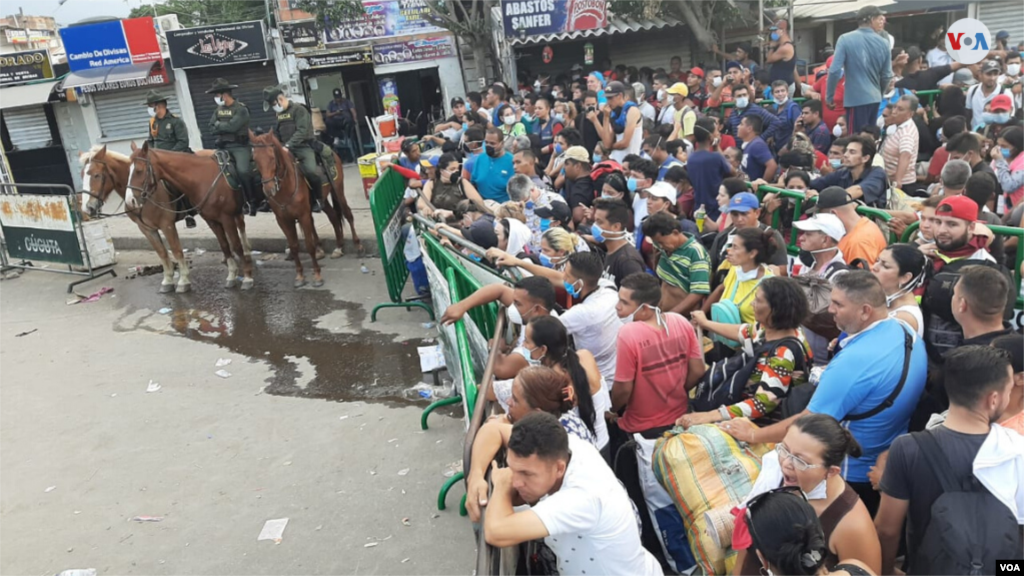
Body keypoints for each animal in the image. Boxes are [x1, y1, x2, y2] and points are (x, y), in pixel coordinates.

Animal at [80, 145, 196, 293]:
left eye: (97, 175)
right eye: (81, 175)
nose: (87, 208)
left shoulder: (167, 225)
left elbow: (176, 250)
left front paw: (183, 280)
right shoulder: (146, 229)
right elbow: (162, 253)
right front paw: (168, 280)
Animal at [128, 141, 256, 289]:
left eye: (139, 170)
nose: (130, 201)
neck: (202, 177)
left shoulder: (226, 217)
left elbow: (235, 245)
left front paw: (247, 277)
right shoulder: (211, 220)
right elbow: (224, 245)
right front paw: (231, 275)